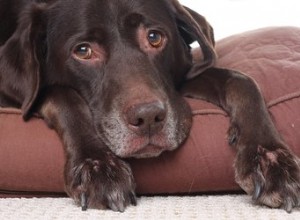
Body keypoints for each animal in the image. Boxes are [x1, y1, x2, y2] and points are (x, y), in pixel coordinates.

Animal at [0, 0, 298, 213]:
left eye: (154, 37)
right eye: (83, 51)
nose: (148, 118)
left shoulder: (183, 77)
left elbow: (241, 80)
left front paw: (270, 158)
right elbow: (62, 94)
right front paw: (97, 165)